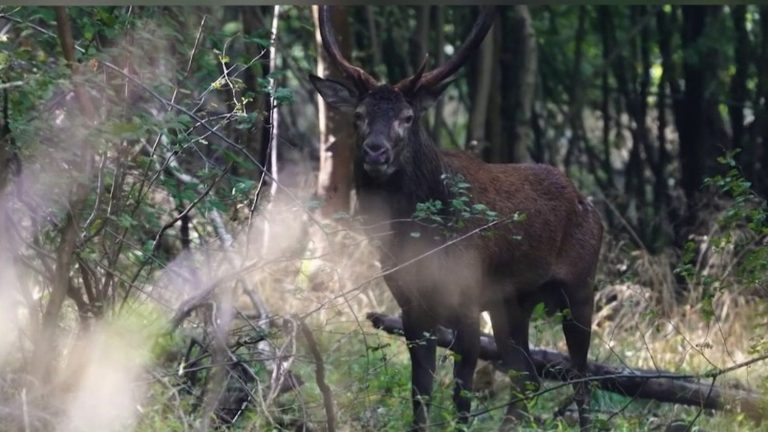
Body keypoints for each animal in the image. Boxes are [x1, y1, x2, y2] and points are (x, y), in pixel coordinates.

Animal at [308, 5, 604, 428]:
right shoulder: (410, 307)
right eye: (360, 114)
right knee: (528, 376)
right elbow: (420, 392)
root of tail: (587, 203)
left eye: (408, 116)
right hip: (513, 303)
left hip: (580, 287)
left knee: (581, 379)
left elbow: (462, 393)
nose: (375, 152)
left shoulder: (468, 301)